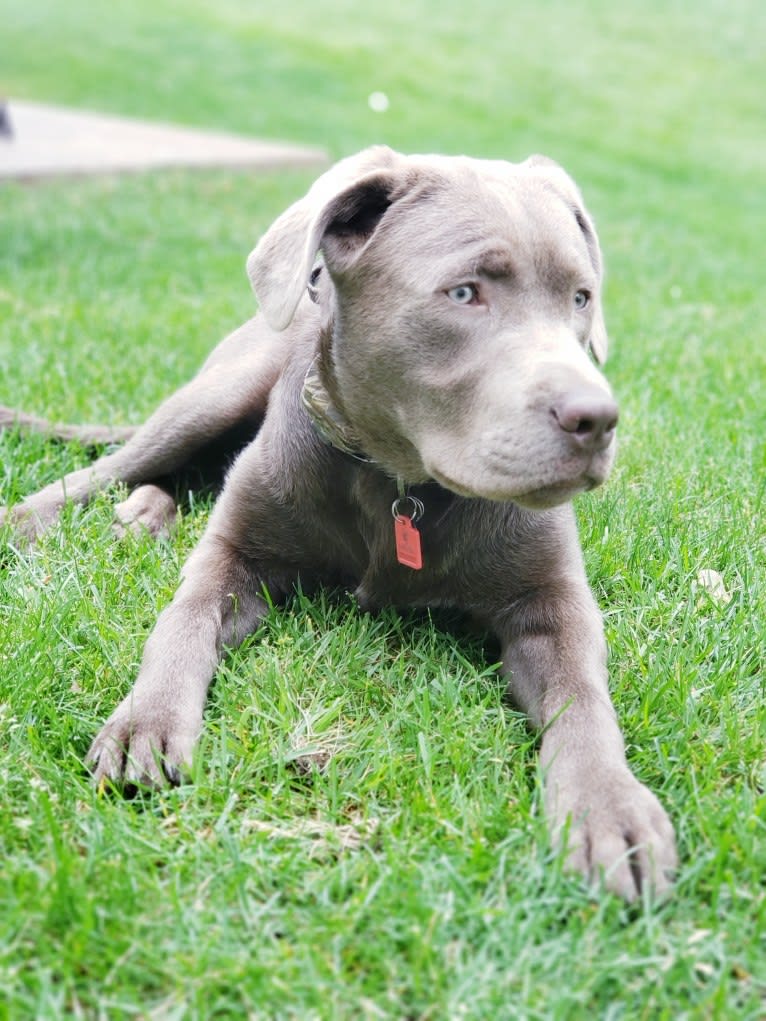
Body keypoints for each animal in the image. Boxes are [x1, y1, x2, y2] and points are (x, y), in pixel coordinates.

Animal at [0, 148, 678, 898]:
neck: (397, 483)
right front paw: (145, 721)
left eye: (581, 299)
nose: (598, 418)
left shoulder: (551, 598)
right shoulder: (233, 552)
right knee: (107, 470)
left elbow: (583, 695)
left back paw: (141, 517)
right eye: (465, 293)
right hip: (214, 395)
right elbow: (180, 621)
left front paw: (608, 807)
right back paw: (38, 521)